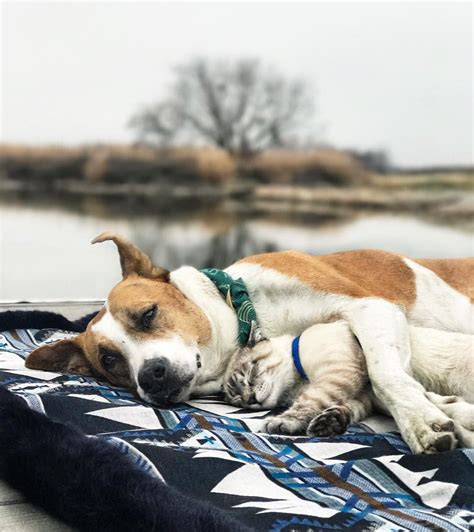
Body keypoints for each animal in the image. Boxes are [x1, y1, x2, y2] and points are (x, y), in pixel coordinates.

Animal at [26, 233, 474, 454]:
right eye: (109, 359)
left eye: (148, 313)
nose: (151, 375)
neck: (249, 310)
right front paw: (445, 409)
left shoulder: (371, 309)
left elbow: (385, 374)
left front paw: (423, 421)